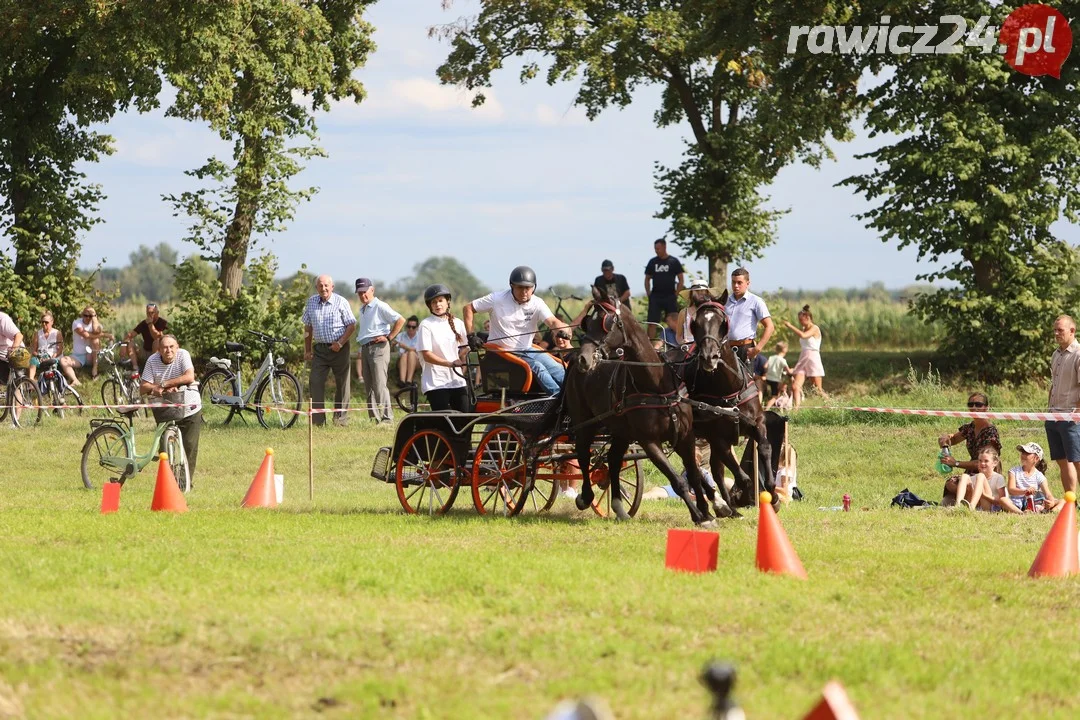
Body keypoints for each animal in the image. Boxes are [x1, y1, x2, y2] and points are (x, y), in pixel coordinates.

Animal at [548, 293, 725, 528]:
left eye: (606, 323)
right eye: (588, 323)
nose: (584, 359)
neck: (657, 386)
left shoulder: (685, 436)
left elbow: (694, 474)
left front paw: (706, 513)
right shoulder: (649, 442)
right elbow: (678, 480)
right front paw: (698, 515)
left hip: (621, 431)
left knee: (613, 460)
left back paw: (618, 507)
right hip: (584, 423)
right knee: (583, 455)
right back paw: (585, 497)